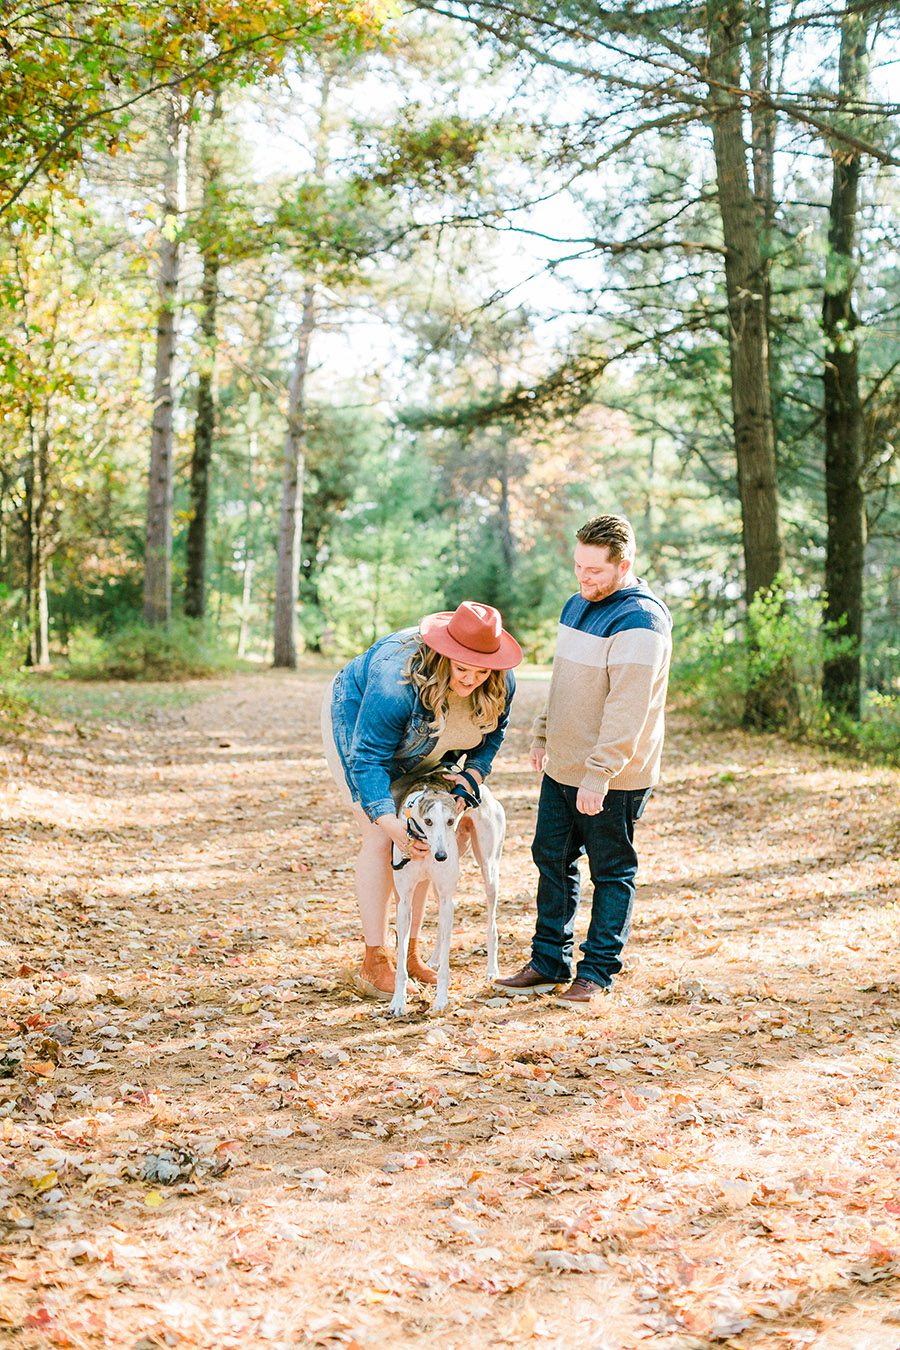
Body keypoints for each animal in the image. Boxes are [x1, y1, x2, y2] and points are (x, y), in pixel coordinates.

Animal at [388, 772, 507, 1015]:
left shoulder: (446, 898)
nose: (441, 856)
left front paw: (441, 1000)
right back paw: (433, 959)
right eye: (428, 821)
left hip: (489, 872)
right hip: (437, 890)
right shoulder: (404, 902)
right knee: (442, 930)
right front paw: (398, 1001)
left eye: (451, 821)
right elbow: (402, 960)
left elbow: (446, 964)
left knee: (491, 925)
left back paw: (492, 970)